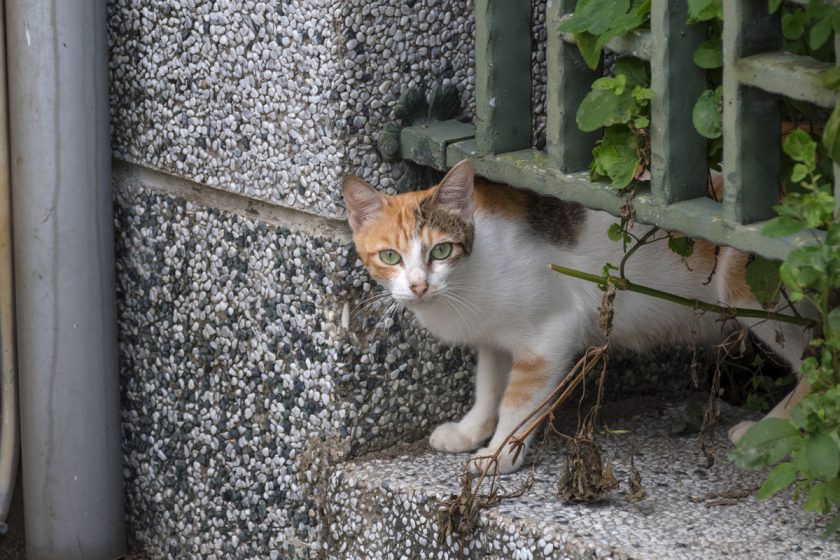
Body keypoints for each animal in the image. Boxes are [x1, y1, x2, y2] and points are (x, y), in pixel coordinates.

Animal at [340, 160, 808, 474]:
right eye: (390, 257)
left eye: (440, 250)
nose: (419, 285)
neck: (465, 283)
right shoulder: (494, 339)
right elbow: (488, 386)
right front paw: (470, 431)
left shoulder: (550, 334)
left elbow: (518, 400)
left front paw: (499, 454)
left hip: (752, 293)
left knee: (817, 367)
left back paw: (767, 437)